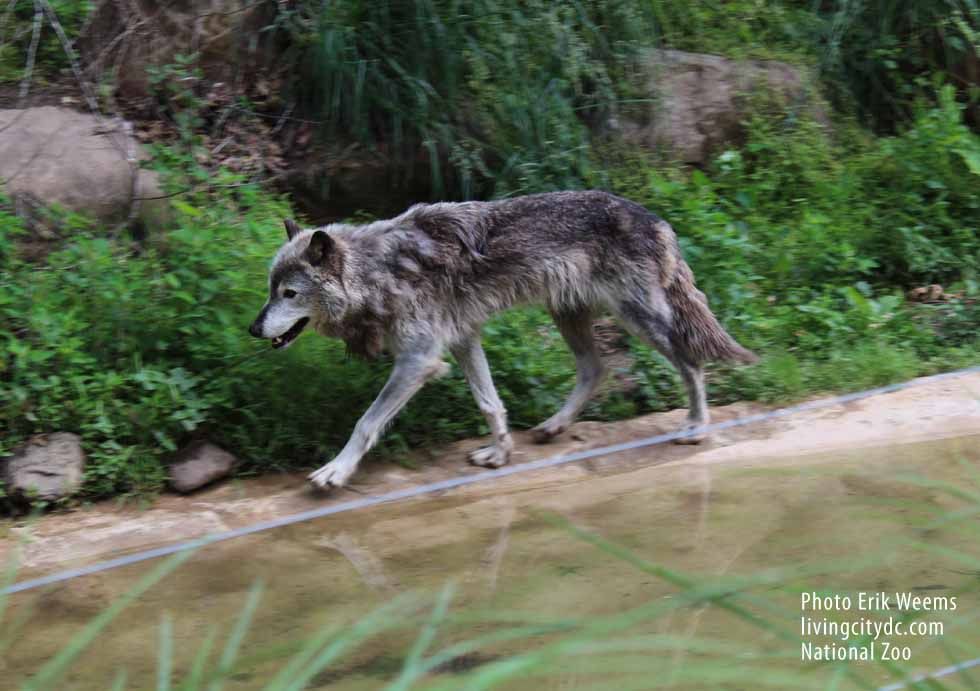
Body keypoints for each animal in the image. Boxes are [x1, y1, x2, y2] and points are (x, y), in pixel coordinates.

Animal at [249, 192, 756, 490]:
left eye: (289, 294)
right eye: (270, 289)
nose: (254, 329)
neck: (378, 271)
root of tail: (656, 219)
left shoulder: (420, 359)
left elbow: (365, 422)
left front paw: (336, 470)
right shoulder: (463, 340)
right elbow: (490, 403)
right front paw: (500, 452)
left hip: (637, 320)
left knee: (690, 362)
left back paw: (696, 426)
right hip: (569, 316)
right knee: (596, 369)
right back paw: (553, 426)